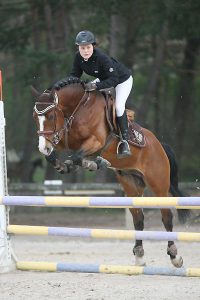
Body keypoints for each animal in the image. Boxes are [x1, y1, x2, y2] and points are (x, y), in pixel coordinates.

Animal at [32, 77, 189, 268]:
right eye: (35, 117)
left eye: (51, 116)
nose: (43, 146)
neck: (79, 107)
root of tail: (160, 145)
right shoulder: (63, 138)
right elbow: (57, 156)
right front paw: (66, 165)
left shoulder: (96, 141)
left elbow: (78, 156)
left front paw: (95, 163)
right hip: (130, 183)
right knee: (138, 218)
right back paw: (139, 255)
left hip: (158, 185)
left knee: (166, 216)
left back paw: (175, 256)